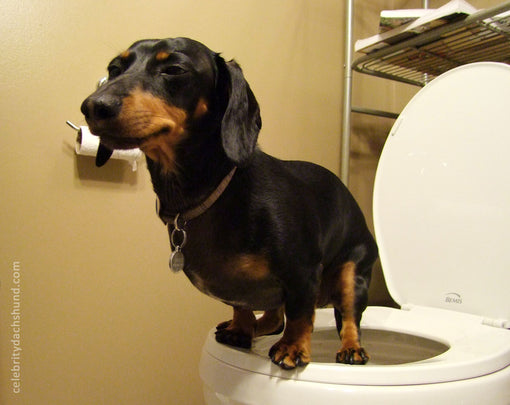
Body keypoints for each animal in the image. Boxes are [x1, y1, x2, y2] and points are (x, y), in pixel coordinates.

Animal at [81, 38, 376, 370]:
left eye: (174, 69)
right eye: (114, 69)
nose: (93, 106)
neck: (217, 192)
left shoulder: (303, 272)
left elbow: (301, 315)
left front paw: (292, 347)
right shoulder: (236, 287)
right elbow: (242, 306)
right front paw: (241, 329)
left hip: (353, 271)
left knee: (349, 316)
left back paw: (351, 348)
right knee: (276, 317)